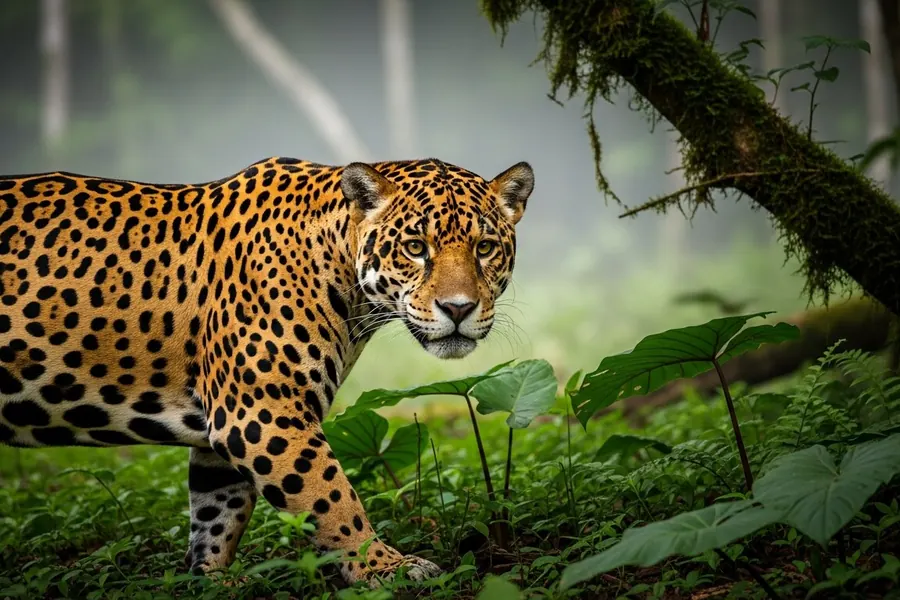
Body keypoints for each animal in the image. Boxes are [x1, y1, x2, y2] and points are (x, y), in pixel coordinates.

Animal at [0, 156, 534, 586]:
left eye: (485, 247)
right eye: (415, 247)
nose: (459, 308)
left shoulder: (225, 430)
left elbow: (217, 513)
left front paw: (211, 578)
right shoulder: (264, 416)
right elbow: (332, 498)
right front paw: (385, 566)